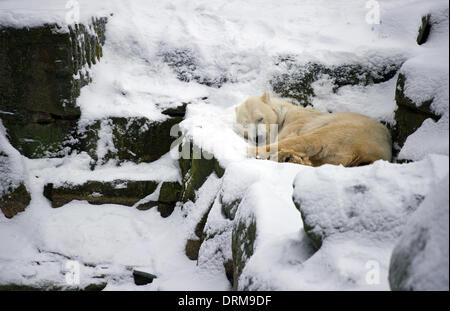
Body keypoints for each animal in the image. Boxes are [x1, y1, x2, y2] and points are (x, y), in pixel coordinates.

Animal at [234, 91, 392, 167]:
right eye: (245, 124)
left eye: (260, 118)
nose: (257, 138)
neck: (283, 113)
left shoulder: (298, 121)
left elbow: (289, 137)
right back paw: (289, 158)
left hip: (348, 130)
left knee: (311, 140)